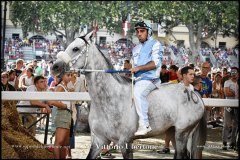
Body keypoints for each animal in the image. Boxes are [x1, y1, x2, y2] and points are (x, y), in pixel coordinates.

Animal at [51, 31, 207, 159]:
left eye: (75, 48)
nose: (54, 66)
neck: (109, 99)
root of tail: (195, 94)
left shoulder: (125, 142)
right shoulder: (99, 140)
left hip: (182, 133)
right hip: (173, 132)